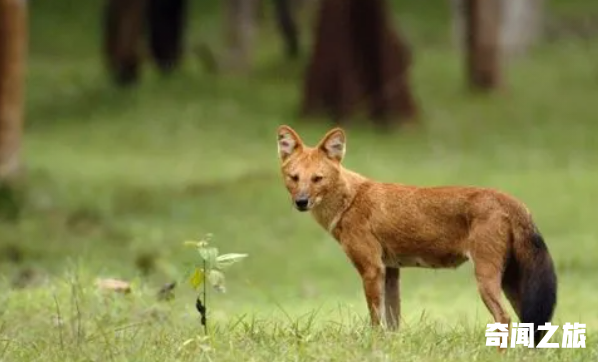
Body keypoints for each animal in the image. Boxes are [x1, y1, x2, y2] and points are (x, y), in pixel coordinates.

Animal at [278, 125, 560, 348]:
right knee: (531, 324)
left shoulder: (371, 269)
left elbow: (375, 319)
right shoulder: (390, 270)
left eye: (317, 178)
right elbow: (393, 322)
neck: (349, 201)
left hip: (486, 277)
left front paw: (374, 347)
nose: (301, 202)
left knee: (504, 319)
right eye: (294, 178)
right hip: (511, 280)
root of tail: (511, 200)